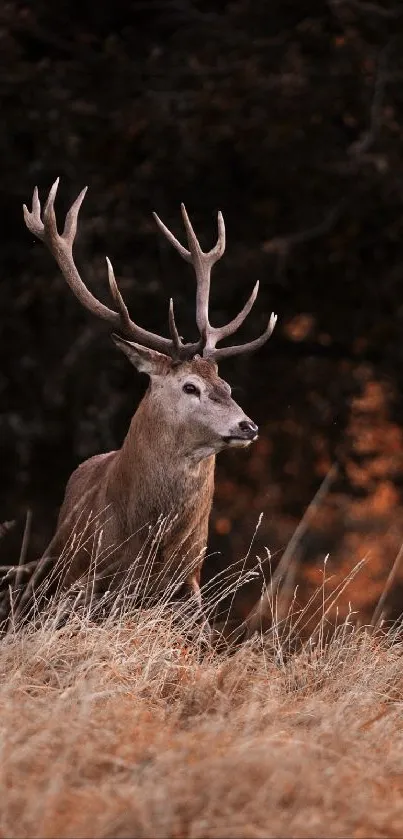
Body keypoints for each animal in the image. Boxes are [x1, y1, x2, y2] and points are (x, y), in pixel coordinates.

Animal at [1, 179, 280, 632]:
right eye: (189, 387)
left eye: (226, 384)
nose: (248, 426)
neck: (146, 543)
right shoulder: (90, 577)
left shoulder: (189, 582)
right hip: (54, 567)